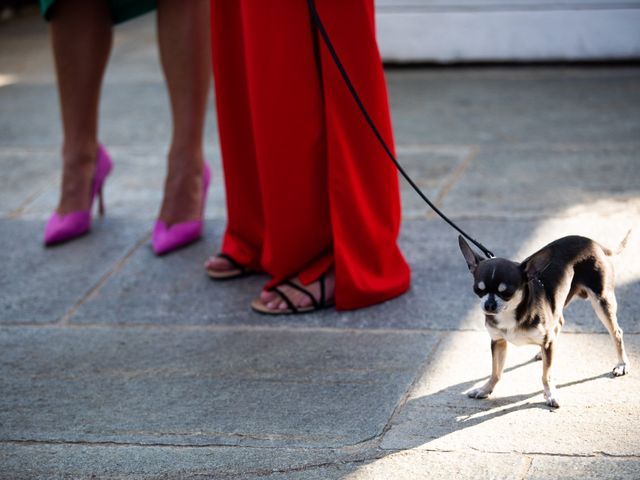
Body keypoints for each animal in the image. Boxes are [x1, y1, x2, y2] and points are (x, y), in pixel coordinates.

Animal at [460, 233, 632, 408]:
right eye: (478, 290)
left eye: (507, 292)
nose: (489, 305)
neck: (511, 314)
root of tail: (592, 242)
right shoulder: (498, 341)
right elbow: (496, 371)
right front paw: (485, 389)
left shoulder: (544, 341)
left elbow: (546, 374)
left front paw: (550, 394)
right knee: (559, 323)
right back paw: (541, 353)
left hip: (602, 301)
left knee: (616, 333)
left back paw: (622, 364)